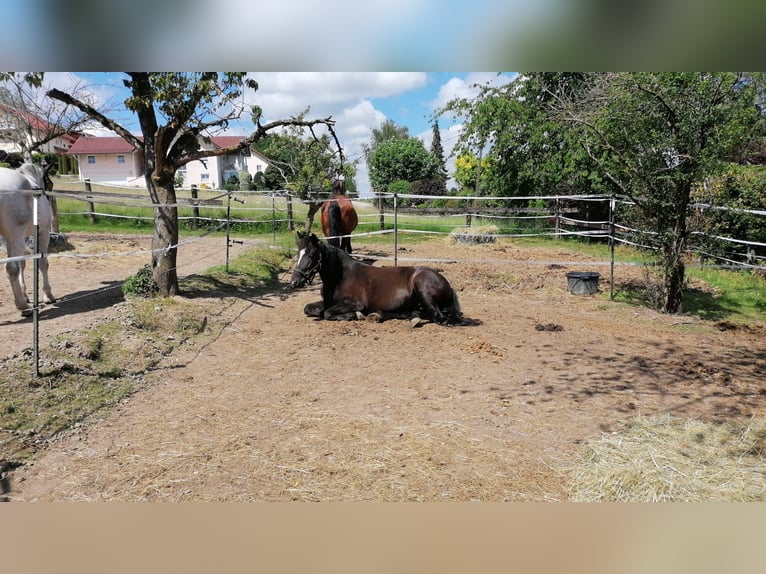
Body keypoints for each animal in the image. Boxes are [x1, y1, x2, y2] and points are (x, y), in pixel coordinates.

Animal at [0, 163, 55, 320]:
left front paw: (25, 294)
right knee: (11, 268)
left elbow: (22, 264)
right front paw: (48, 295)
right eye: (50, 183)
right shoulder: (42, 233)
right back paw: (23, 306)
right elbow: (42, 263)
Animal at [292, 232, 468, 326]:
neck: (341, 277)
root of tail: (448, 285)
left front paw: (355, 315)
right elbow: (308, 308)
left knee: (438, 317)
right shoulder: (329, 302)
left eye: (311, 254)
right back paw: (379, 315)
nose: (295, 282)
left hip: (423, 288)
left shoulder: (354, 303)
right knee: (414, 312)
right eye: (298, 252)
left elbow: (327, 314)